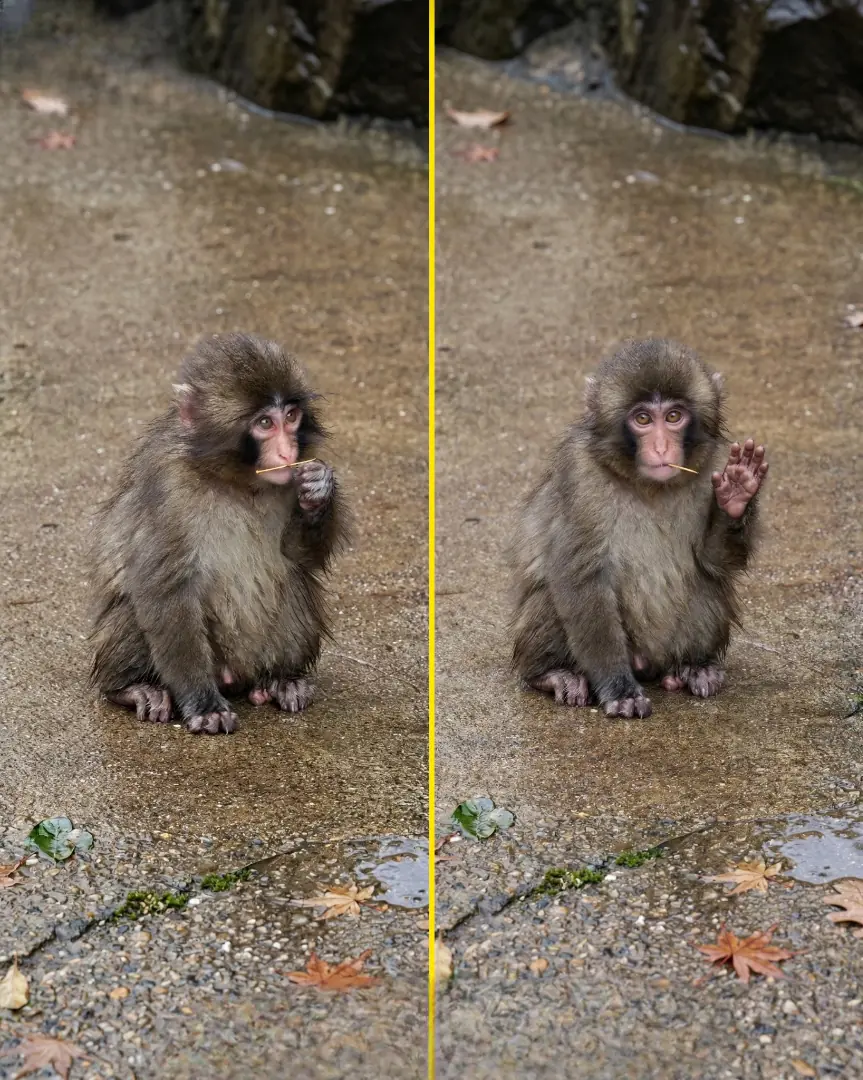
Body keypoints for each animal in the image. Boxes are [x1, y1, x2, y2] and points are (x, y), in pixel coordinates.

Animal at [88, 332, 350, 735]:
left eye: (290, 417)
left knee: (294, 582)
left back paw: (280, 679)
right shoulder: (167, 486)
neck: (235, 481)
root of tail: (235, 677)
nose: (287, 451)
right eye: (265, 422)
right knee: (136, 608)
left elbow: (298, 555)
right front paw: (203, 703)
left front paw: (320, 489)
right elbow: (163, 589)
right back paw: (132, 688)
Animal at [509, 338, 769, 719]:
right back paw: (553, 674)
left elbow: (713, 561)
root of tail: (648, 665)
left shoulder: (716, 462)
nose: (661, 447)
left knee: (707, 583)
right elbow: (580, 577)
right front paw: (619, 688)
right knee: (550, 597)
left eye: (673, 416)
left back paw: (692, 667)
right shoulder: (580, 474)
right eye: (643, 419)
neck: (646, 484)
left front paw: (737, 493)